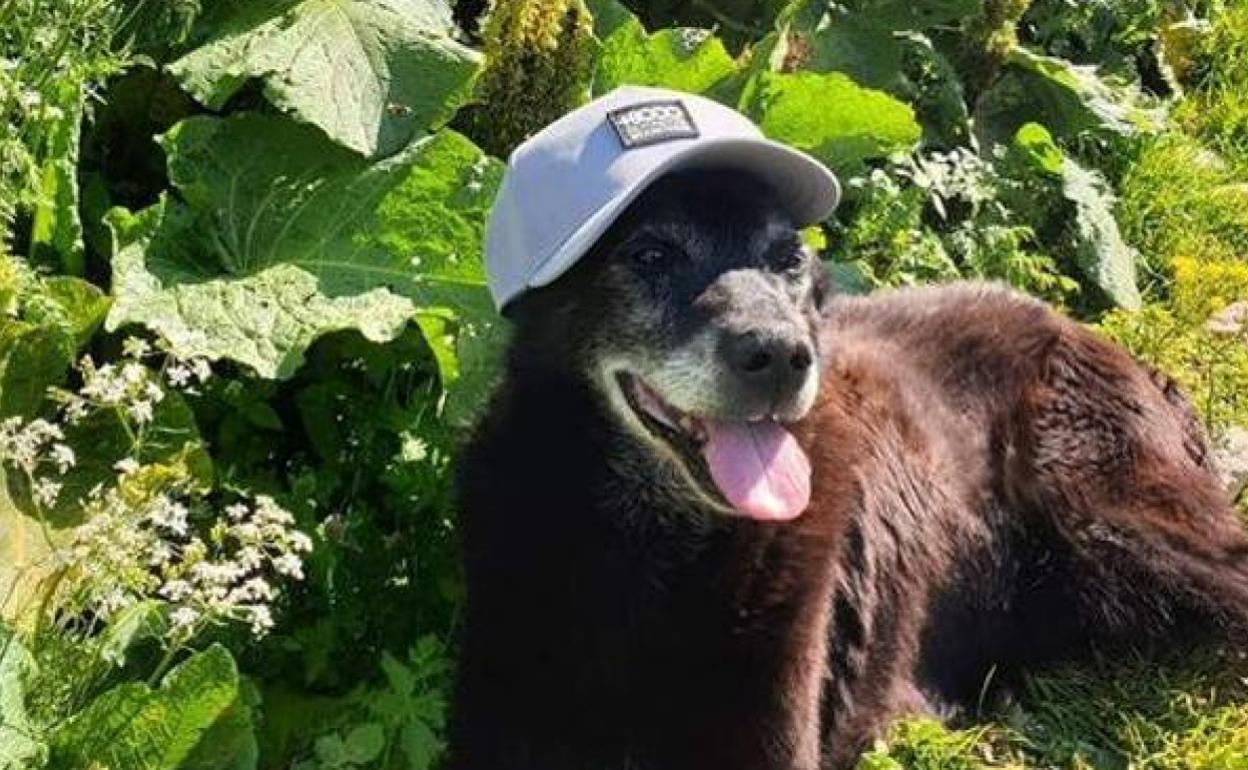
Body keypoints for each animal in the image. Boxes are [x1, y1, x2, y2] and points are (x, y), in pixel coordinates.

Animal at [454, 168, 1248, 768]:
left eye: (789, 261)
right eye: (649, 255)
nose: (781, 356)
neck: (649, 553)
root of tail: (1092, 334)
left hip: (1111, 521)